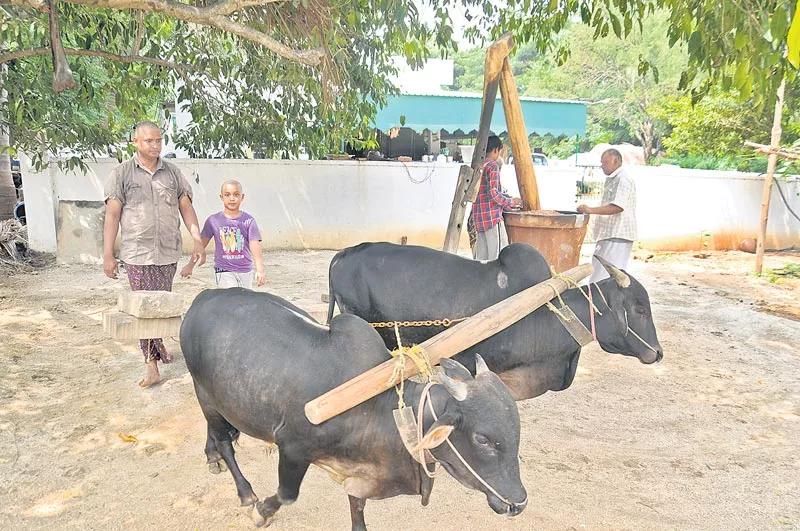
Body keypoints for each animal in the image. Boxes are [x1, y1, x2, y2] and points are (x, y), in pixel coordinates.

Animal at [183, 288, 532, 528]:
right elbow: (286, 495)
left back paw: (210, 456)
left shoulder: (362, 471)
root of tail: (204, 296)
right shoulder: (293, 448)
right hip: (206, 395)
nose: (519, 503)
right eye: (482, 440)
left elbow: (358, 508)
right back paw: (244, 492)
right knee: (225, 442)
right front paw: (262, 511)